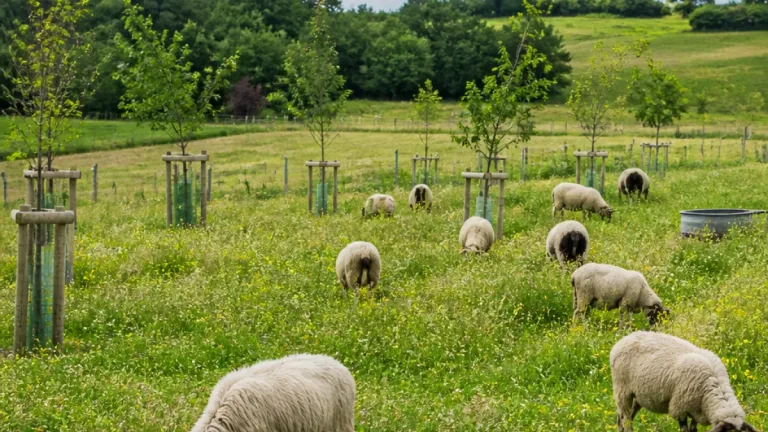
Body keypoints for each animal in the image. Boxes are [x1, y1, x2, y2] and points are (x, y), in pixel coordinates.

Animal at [610, 331, 759, 432]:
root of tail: (624, 338)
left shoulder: (697, 411)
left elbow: (693, 429)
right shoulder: (680, 407)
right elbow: (684, 429)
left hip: (638, 396)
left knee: (622, 417)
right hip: (622, 390)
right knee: (626, 419)